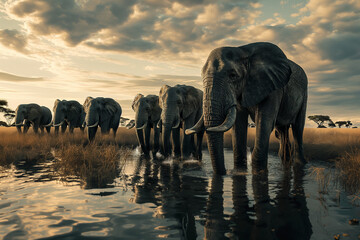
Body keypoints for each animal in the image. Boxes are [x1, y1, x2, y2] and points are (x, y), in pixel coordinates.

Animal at [187, 41, 308, 174]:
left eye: (233, 75)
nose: (225, 172)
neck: (243, 51)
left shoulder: (273, 87)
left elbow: (265, 123)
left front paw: (258, 172)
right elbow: (238, 123)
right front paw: (239, 171)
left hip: (304, 93)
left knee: (297, 128)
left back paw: (300, 164)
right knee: (282, 130)